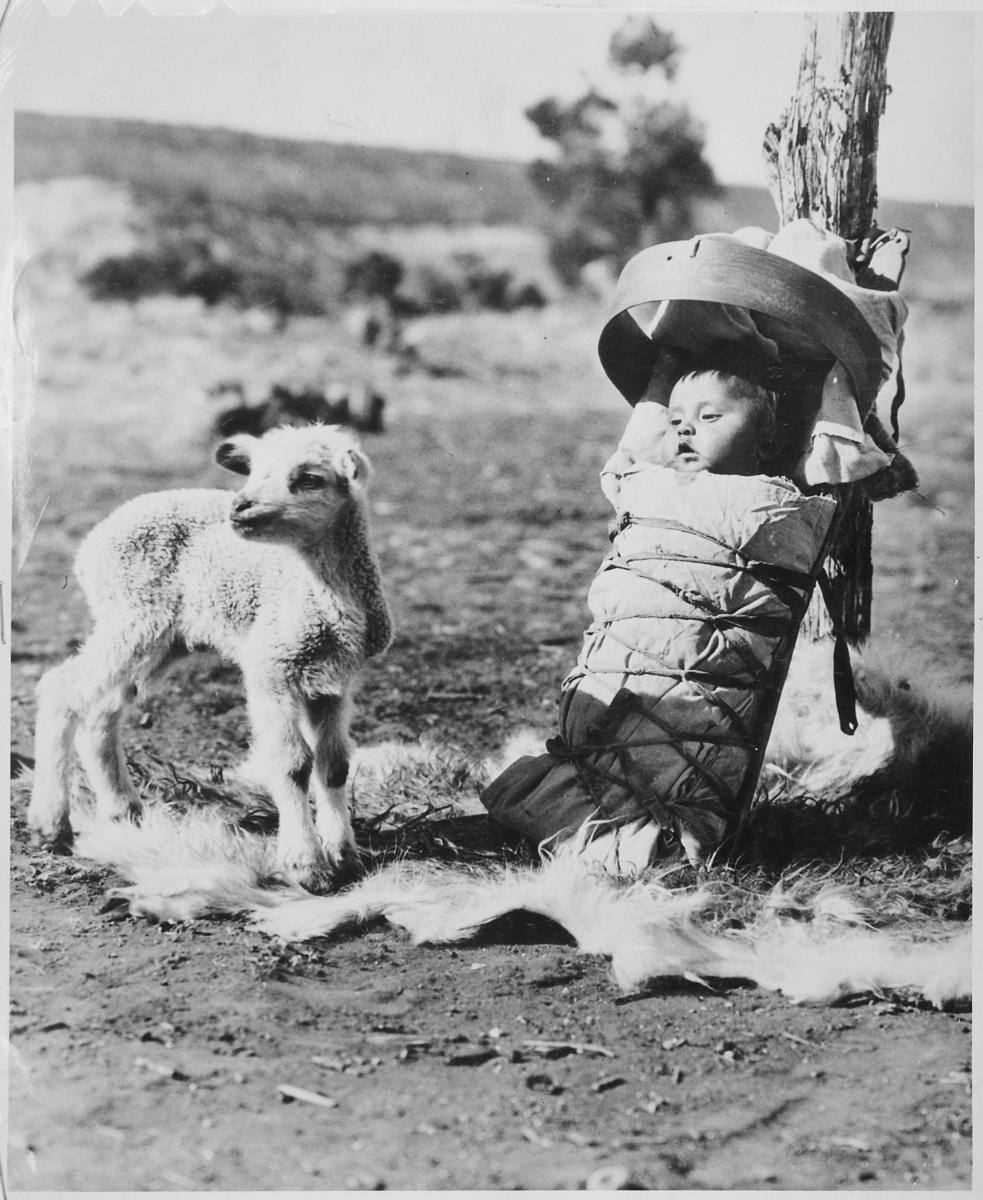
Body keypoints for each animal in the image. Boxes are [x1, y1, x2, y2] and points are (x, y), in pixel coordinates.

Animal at [25, 422, 391, 892]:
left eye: (310, 478)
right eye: (253, 471)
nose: (240, 507)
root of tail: (92, 543)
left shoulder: (332, 680)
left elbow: (335, 765)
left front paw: (346, 857)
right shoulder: (270, 666)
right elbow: (292, 764)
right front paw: (307, 866)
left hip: (161, 640)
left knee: (101, 711)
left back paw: (124, 811)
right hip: (131, 616)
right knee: (61, 689)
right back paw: (49, 825)